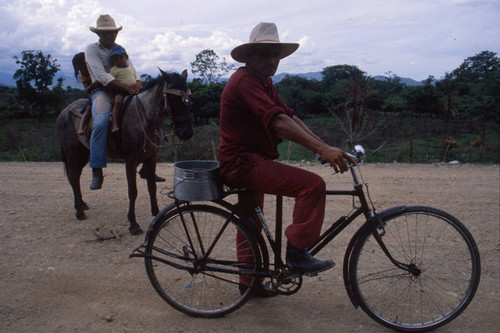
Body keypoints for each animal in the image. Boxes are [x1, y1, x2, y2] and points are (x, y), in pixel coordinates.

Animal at [56, 68, 193, 233]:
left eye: (189, 98)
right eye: (173, 97)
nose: (187, 132)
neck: (144, 120)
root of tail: (64, 112)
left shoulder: (151, 158)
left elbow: (152, 187)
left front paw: (157, 216)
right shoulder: (131, 160)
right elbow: (133, 191)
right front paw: (133, 224)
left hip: (84, 153)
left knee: (76, 176)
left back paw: (82, 204)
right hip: (72, 151)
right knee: (72, 176)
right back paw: (79, 211)